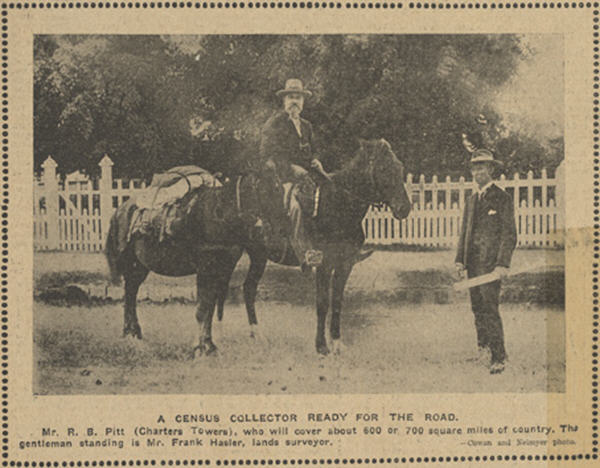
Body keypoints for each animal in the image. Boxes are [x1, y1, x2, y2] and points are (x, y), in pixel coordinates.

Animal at [104, 170, 288, 356]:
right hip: (131, 263)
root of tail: (119, 210)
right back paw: (130, 333)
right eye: (268, 191)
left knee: (131, 292)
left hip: (140, 267)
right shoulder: (204, 269)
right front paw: (199, 348)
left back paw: (133, 333)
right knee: (129, 294)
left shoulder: (222, 269)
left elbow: (210, 308)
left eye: (281, 192)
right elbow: (202, 309)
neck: (220, 215)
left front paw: (209, 345)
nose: (279, 233)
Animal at [217, 139, 412, 354]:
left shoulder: (345, 265)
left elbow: (337, 301)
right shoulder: (323, 264)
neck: (338, 205)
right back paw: (218, 335)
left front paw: (337, 343)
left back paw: (257, 334)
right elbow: (322, 303)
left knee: (249, 288)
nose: (404, 208)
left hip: (258, 255)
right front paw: (321, 346)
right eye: (384, 168)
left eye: (400, 167)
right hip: (232, 252)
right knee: (221, 287)